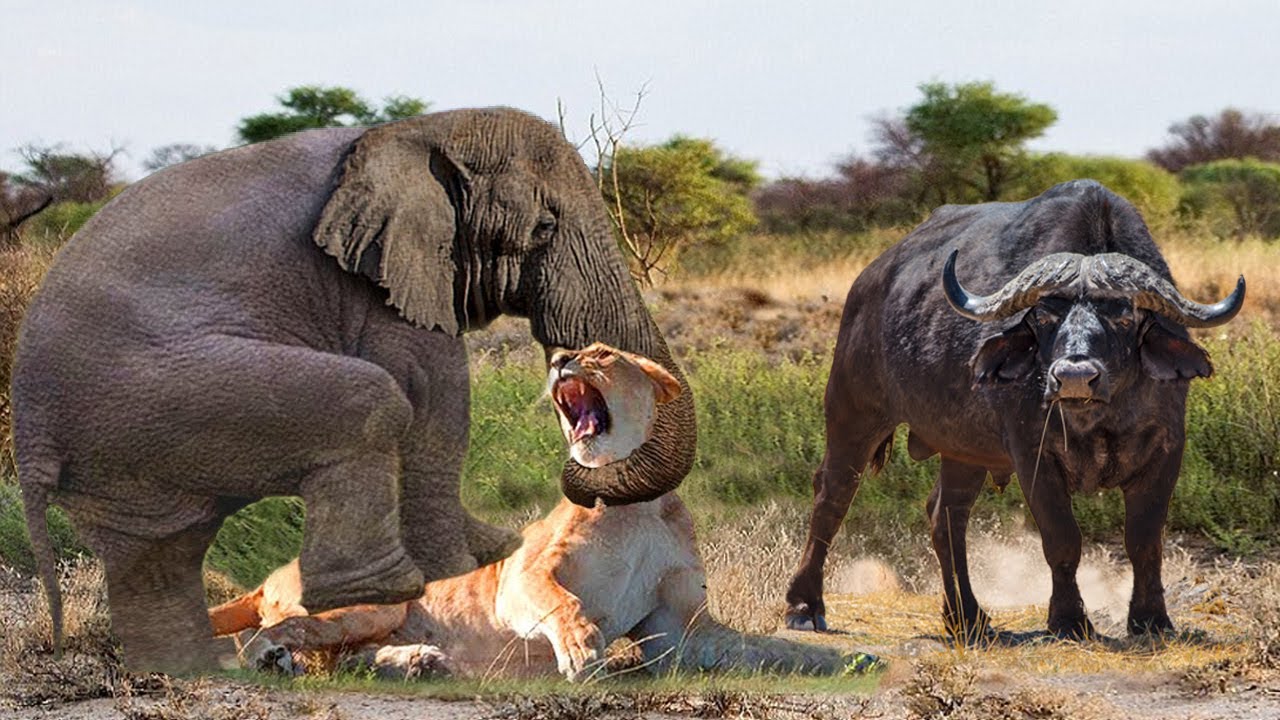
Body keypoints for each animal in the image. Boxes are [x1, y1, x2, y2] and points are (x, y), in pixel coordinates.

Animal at [11, 107, 696, 674]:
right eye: (545, 227)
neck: (423, 130)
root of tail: (29, 430)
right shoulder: (385, 290)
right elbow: (435, 400)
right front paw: (462, 570)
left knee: (156, 554)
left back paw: (191, 670)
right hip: (164, 390)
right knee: (370, 400)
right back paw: (380, 593)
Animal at [209, 343, 874, 680]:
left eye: (601, 353)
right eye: (568, 351)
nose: (558, 360)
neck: (637, 502)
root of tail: (269, 575)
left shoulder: (679, 630)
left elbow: (767, 647)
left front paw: (847, 657)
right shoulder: (524, 575)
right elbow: (564, 601)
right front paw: (581, 649)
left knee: (343, 654)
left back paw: (418, 660)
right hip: (376, 600)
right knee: (266, 638)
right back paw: (276, 659)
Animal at [784, 180, 1245, 641]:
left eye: (1125, 314)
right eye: (1043, 315)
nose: (1074, 376)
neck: (1095, 419)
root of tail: (868, 283)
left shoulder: (1167, 450)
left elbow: (1145, 540)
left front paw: (1151, 619)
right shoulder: (1032, 455)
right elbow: (1062, 538)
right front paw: (1069, 619)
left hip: (962, 450)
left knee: (945, 516)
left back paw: (967, 617)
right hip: (852, 410)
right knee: (832, 496)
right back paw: (805, 606)